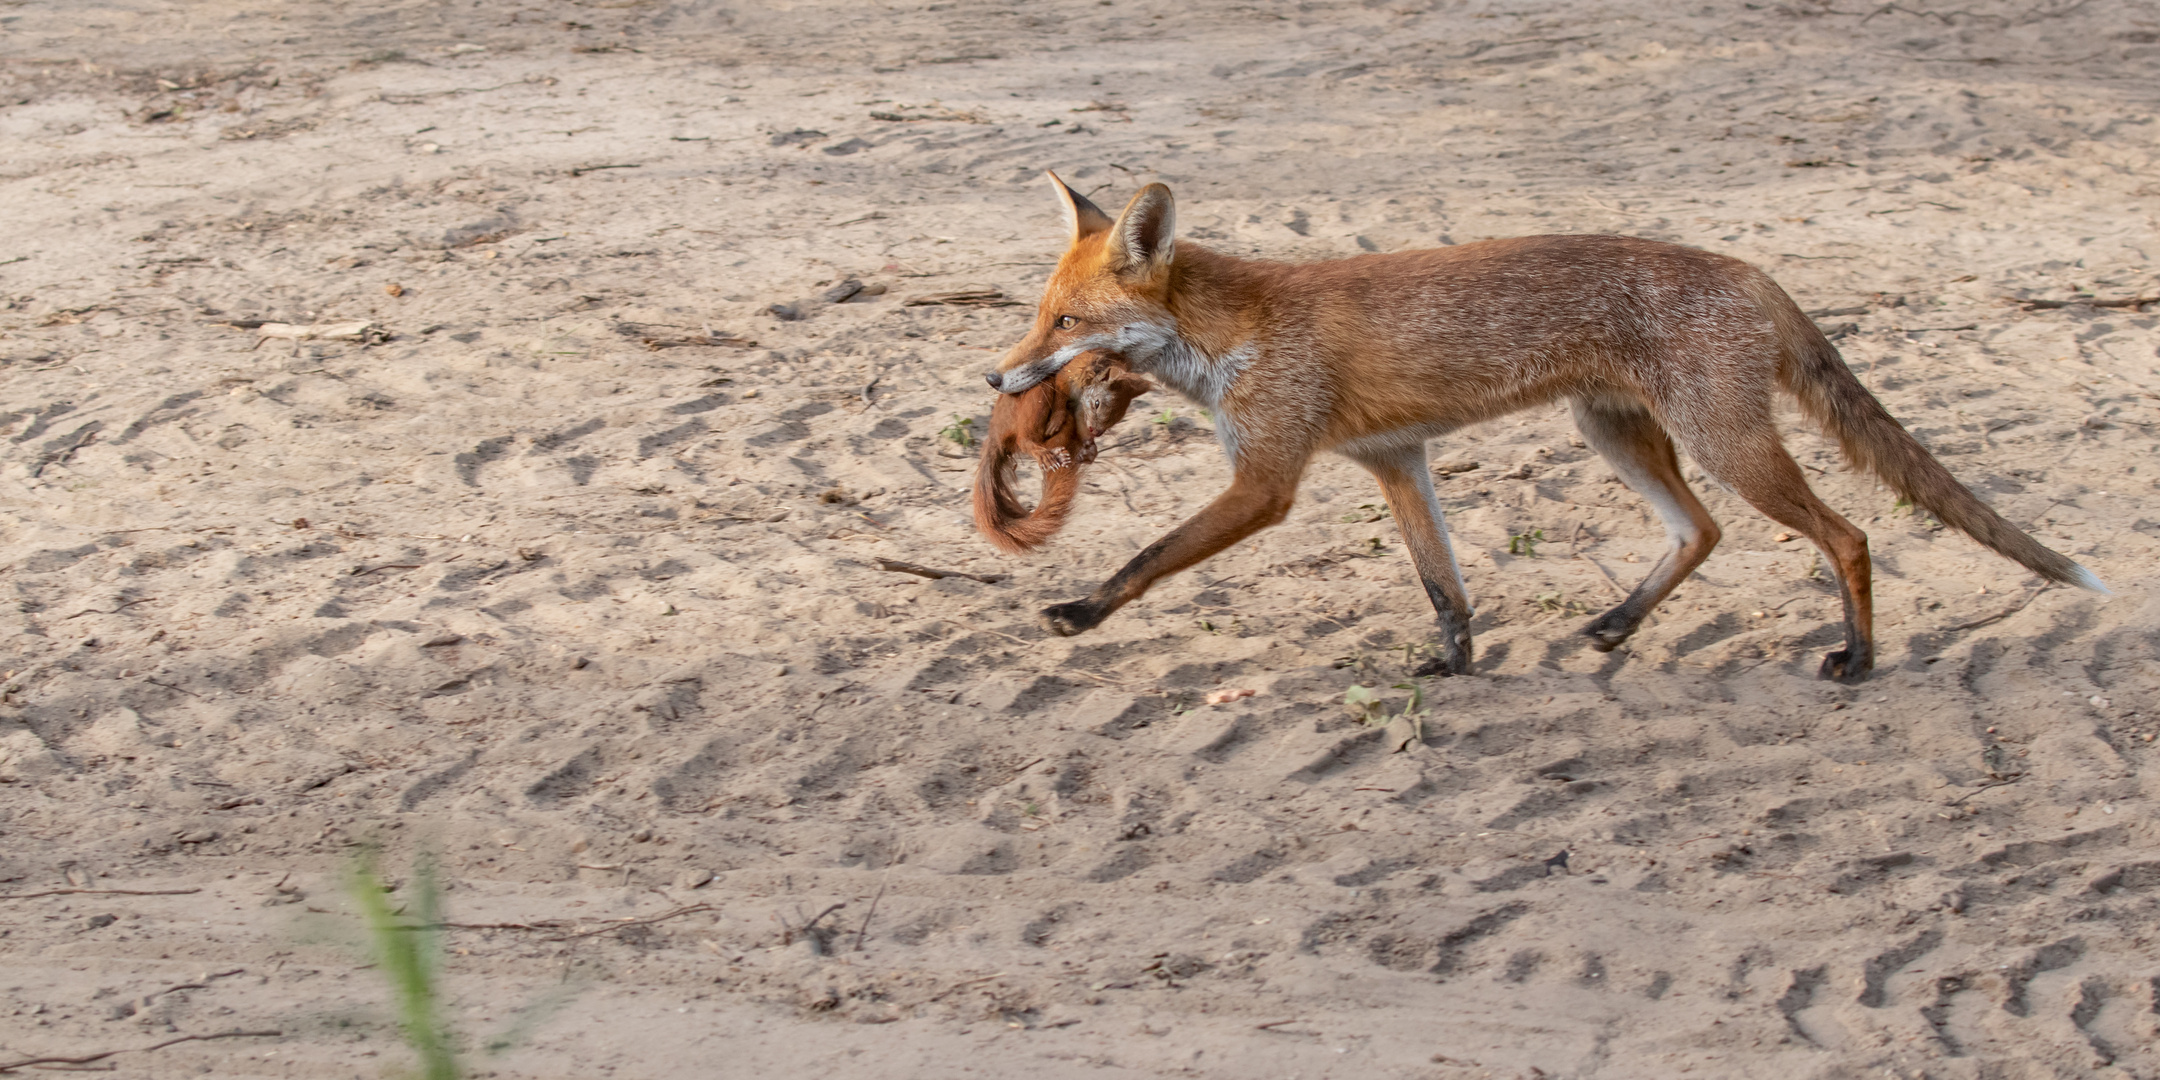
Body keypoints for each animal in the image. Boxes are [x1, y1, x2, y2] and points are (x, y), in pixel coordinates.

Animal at [989, 174, 2099, 682]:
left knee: (1851, 535)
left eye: (1065, 324)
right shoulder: (1394, 458)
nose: (995, 374)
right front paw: (1456, 664)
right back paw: (1617, 625)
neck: (1240, 331)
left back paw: (1858, 660)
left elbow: (1147, 557)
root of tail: (1750, 270)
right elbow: (1445, 585)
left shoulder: (1267, 481)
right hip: (1617, 435)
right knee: (1701, 532)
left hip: (1726, 445)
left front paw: (1080, 612)